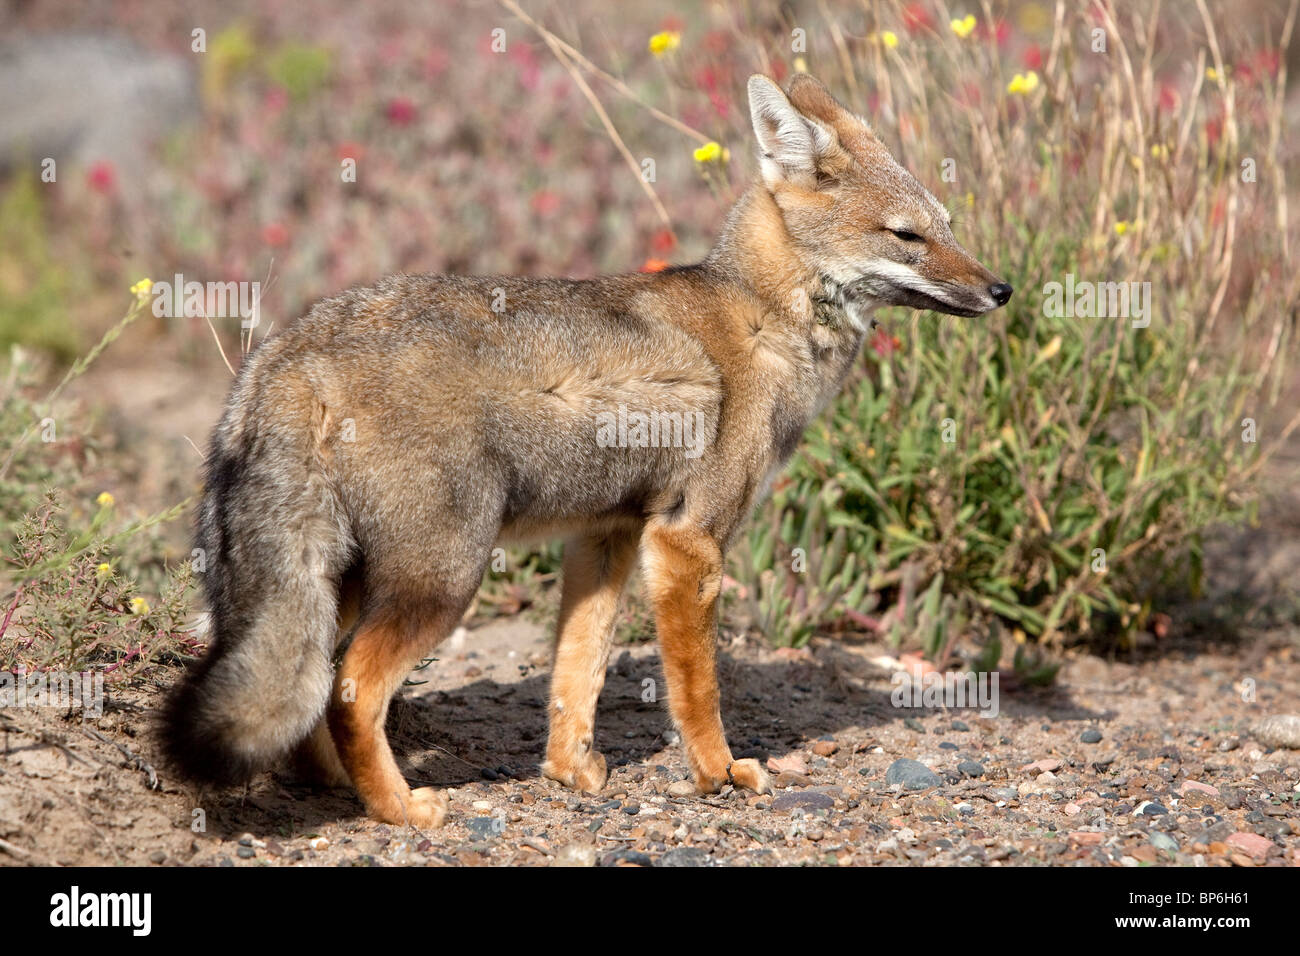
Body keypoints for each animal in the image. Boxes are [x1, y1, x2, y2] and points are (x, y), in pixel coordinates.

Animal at [162, 72, 1008, 832]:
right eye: (907, 236)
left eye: (949, 226)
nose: (1001, 289)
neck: (762, 313)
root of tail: (291, 351)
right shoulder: (687, 540)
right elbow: (696, 688)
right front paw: (719, 773)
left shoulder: (607, 536)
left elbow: (581, 666)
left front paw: (569, 771)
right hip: (443, 581)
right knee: (348, 691)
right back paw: (399, 809)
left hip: (342, 581)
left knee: (312, 698)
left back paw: (342, 789)